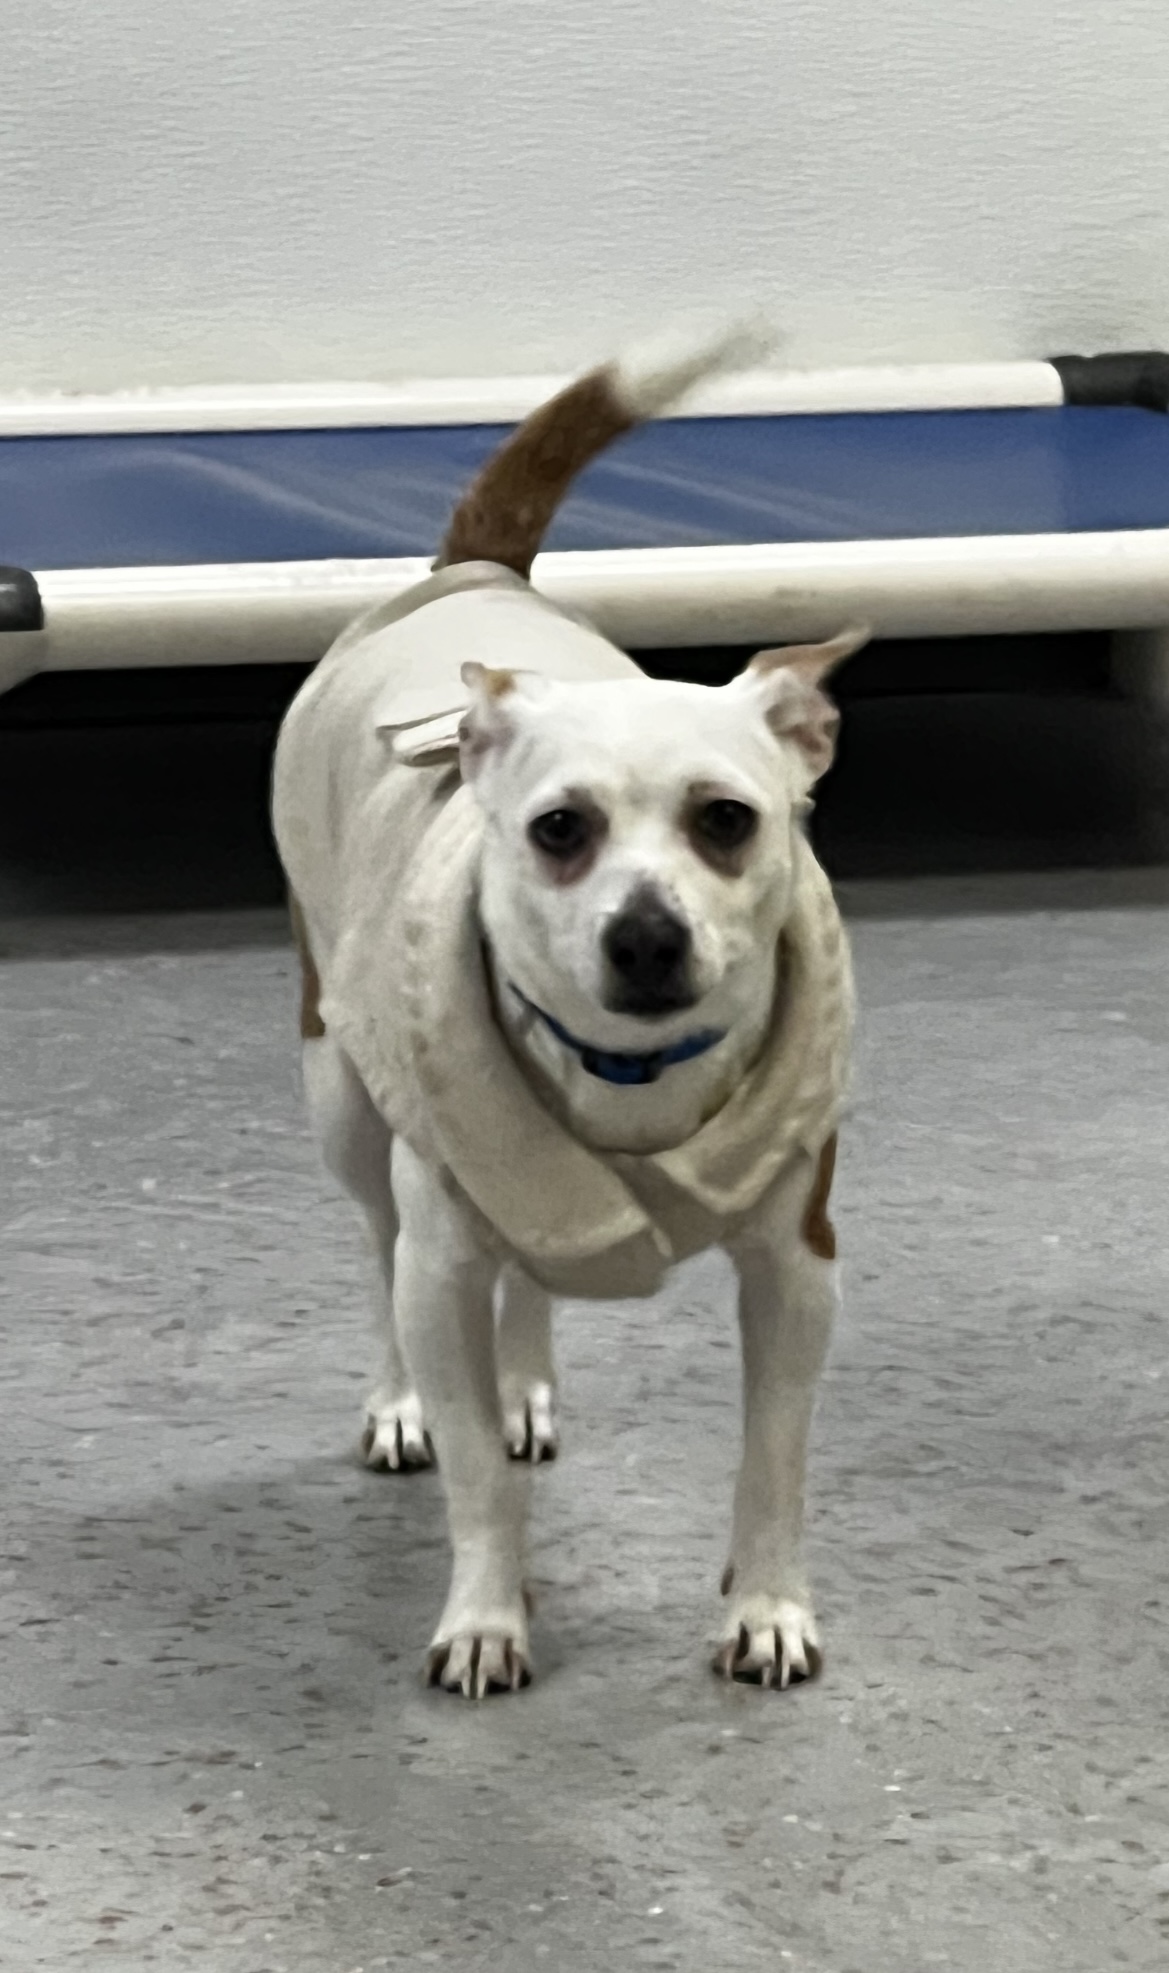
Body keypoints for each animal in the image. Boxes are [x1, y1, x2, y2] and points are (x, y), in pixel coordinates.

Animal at [272, 323, 869, 1698]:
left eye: (726, 818)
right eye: (558, 829)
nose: (643, 932)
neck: (630, 1073)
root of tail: (477, 574)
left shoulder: (794, 1272)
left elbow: (773, 1460)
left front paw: (766, 1604)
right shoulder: (440, 1266)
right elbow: (476, 1479)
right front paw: (486, 1612)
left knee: (535, 1273)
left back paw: (524, 1384)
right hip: (346, 1099)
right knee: (373, 1239)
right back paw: (403, 1402)